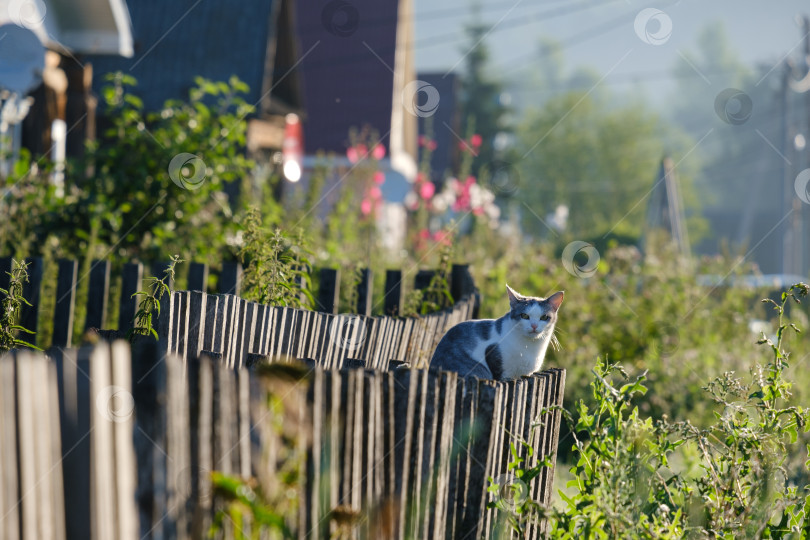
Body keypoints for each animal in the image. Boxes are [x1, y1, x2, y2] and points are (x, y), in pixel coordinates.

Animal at [430, 284, 560, 382]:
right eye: (524, 316)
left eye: (544, 317)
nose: (534, 326)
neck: (529, 347)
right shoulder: (496, 361)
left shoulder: (526, 374)